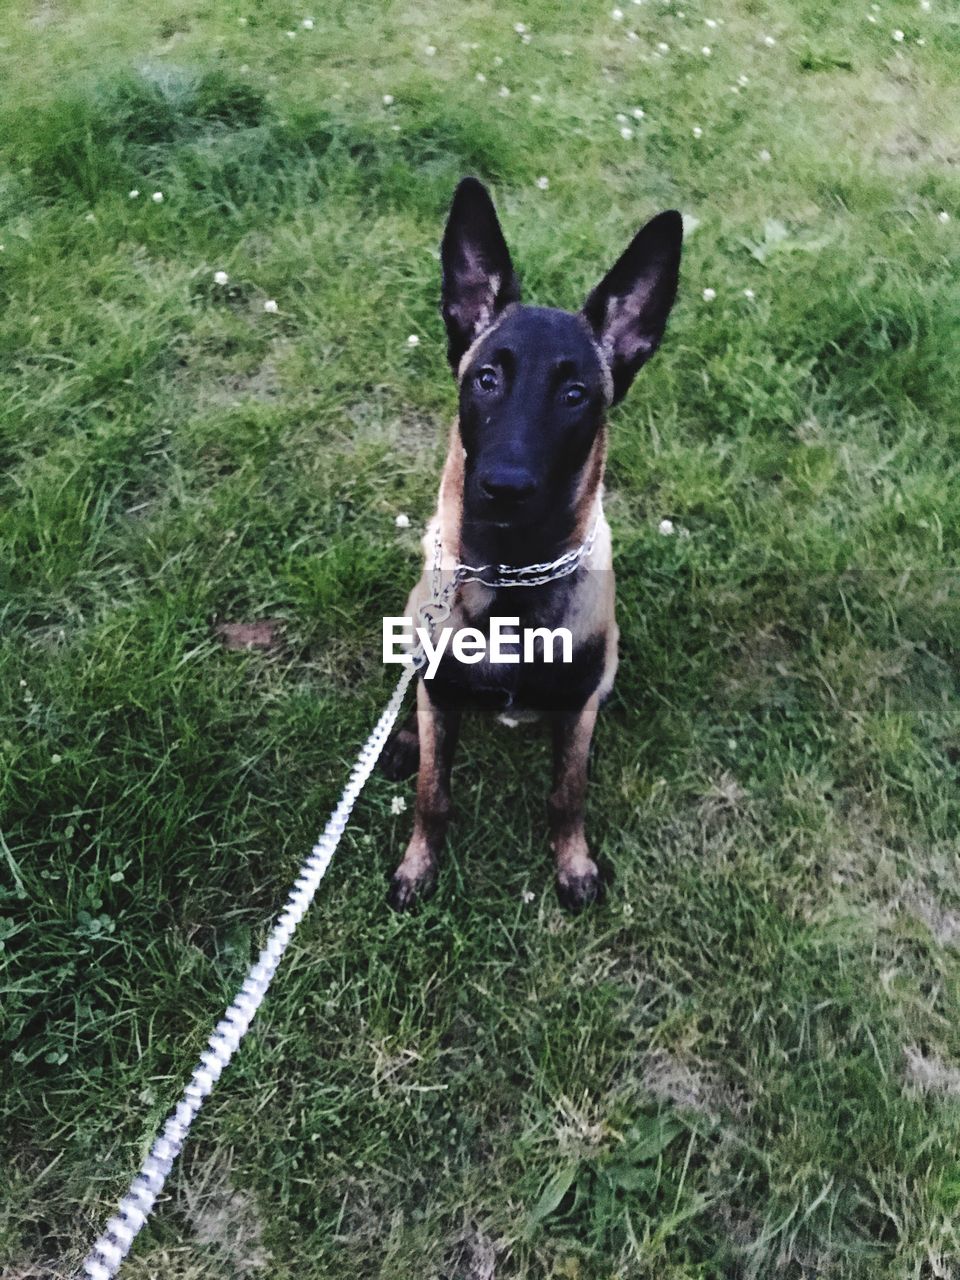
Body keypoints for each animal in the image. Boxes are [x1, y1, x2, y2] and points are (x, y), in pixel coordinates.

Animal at [378, 177, 680, 911]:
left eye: (575, 394)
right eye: (486, 378)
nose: (504, 488)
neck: (512, 578)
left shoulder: (576, 707)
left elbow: (566, 795)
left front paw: (573, 865)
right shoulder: (440, 697)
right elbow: (433, 795)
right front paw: (418, 866)